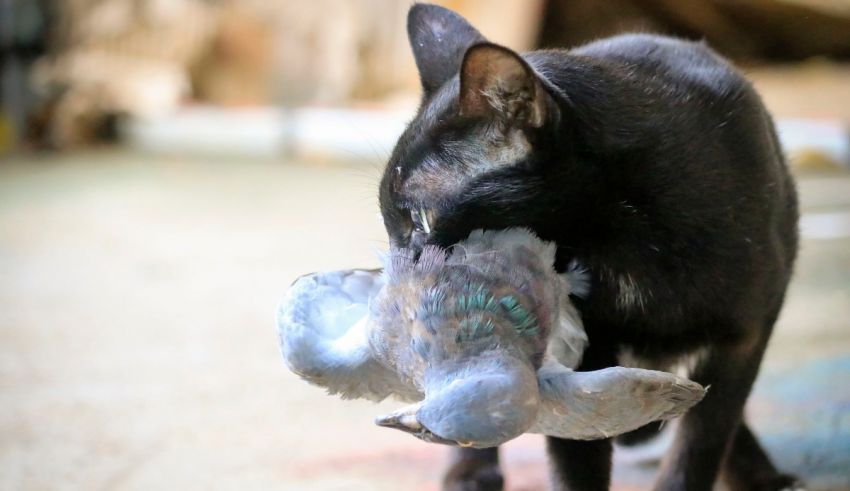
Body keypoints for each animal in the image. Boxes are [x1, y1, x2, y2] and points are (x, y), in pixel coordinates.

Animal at [378, 3, 796, 491]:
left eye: (421, 220)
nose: (398, 275)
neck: (620, 243)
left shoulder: (742, 337)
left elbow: (702, 440)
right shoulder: (579, 355)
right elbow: (578, 454)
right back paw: (470, 471)